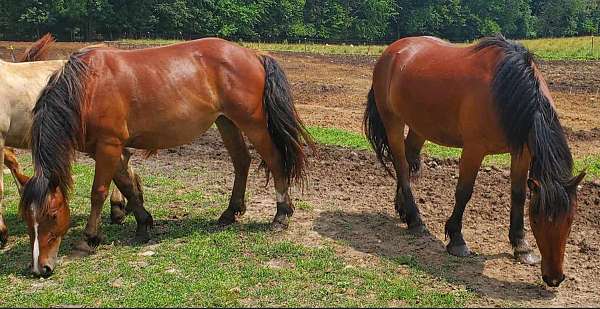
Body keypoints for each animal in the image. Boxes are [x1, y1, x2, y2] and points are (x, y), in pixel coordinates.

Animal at [19, 37, 310, 276]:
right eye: (27, 219)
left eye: (52, 215)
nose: (40, 268)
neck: (86, 87)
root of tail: (254, 54)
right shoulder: (105, 149)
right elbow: (126, 185)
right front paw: (143, 224)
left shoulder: (108, 146)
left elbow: (98, 192)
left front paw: (89, 238)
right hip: (226, 121)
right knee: (241, 161)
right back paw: (230, 212)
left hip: (253, 123)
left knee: (275, 160)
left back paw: (281, 215)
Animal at [364, 35, 584, 288]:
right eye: (536, 220)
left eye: (570, 220)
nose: (554, 278)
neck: (504, 90)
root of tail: (392, 51)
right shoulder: (473, 150)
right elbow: (464, 192)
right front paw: (456, 240)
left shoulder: (522, 152)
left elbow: (518, 195)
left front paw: (521, 245)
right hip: (393, 121)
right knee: (401, 165)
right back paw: (416, 220)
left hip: (420, 126)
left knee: (408, 162)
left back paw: (405, 212)